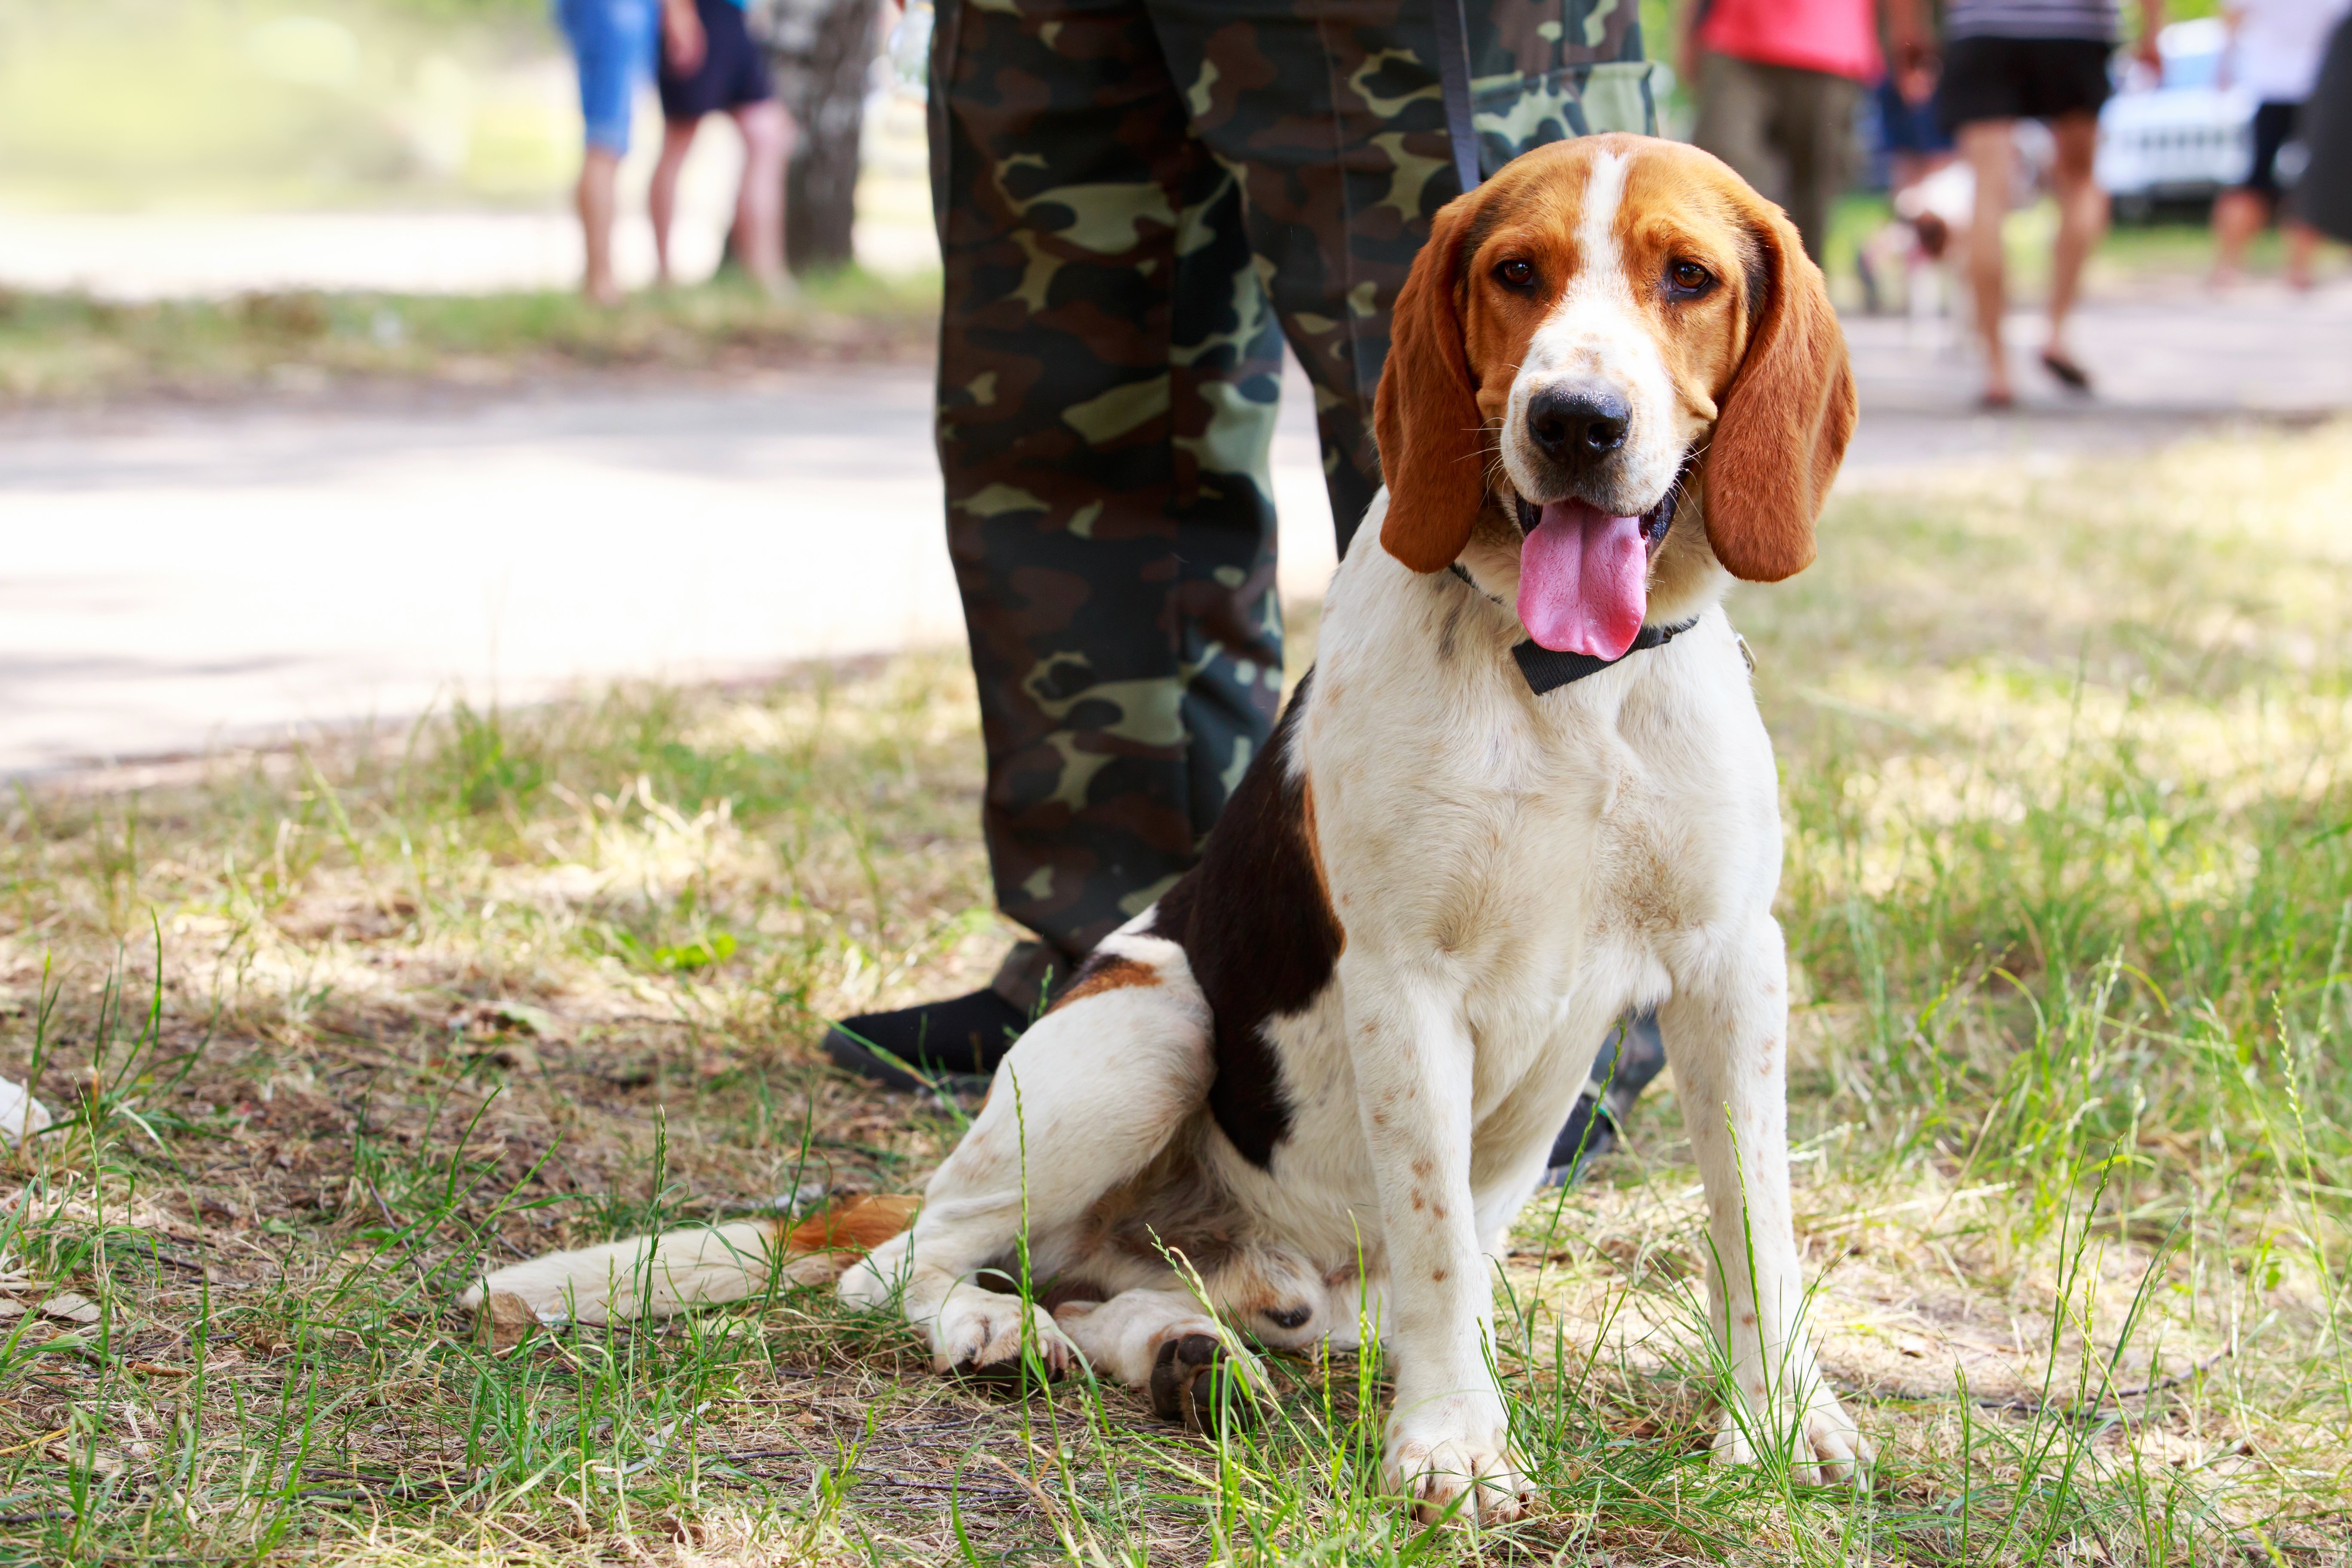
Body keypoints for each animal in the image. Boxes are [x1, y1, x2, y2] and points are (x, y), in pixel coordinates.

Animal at [468, 129, 1872, 1523]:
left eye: (1687, 278)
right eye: (1516, 272)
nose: (1576, 421)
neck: (1564, 679)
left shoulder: (1730, 966)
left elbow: (1755, 1222)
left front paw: (1780, 1420)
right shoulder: (1404, 980)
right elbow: (1436, 1243)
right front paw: (1456, 1444)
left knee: (1137, 1294)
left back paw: (1178, 1350)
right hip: (1152, 1023)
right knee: (910, 1264)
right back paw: (1001, 1331)